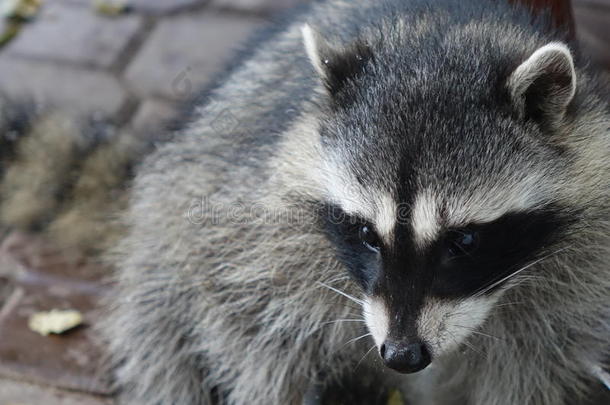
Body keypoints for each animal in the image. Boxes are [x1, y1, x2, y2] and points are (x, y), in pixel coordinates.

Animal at [102, 0, 604, 402]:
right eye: (365, 232)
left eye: (463, 241)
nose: (403, 356)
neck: (436, 32)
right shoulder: (252, 226)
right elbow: (249, 325)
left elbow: (535, 362)